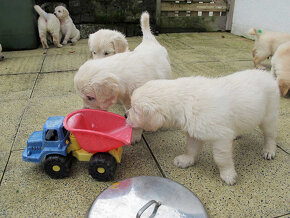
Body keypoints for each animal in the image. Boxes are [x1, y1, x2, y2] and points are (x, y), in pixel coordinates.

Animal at [74, 12, 172, 144]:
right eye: (93, 52)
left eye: (90, 97)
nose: (85, 110)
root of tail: (149, 39)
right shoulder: (127, 101)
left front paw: (134, 136)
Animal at [126, 69, 278, 185]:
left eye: (135, 110)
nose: (125, 114)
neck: (184, 101)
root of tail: (269, 75)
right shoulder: (194, 132)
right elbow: (191, 149)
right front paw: (186, 160)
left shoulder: (221, 139)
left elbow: (221, 158)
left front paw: (228, 174)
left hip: (268, 118)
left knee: (270, 136)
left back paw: (269, 151)